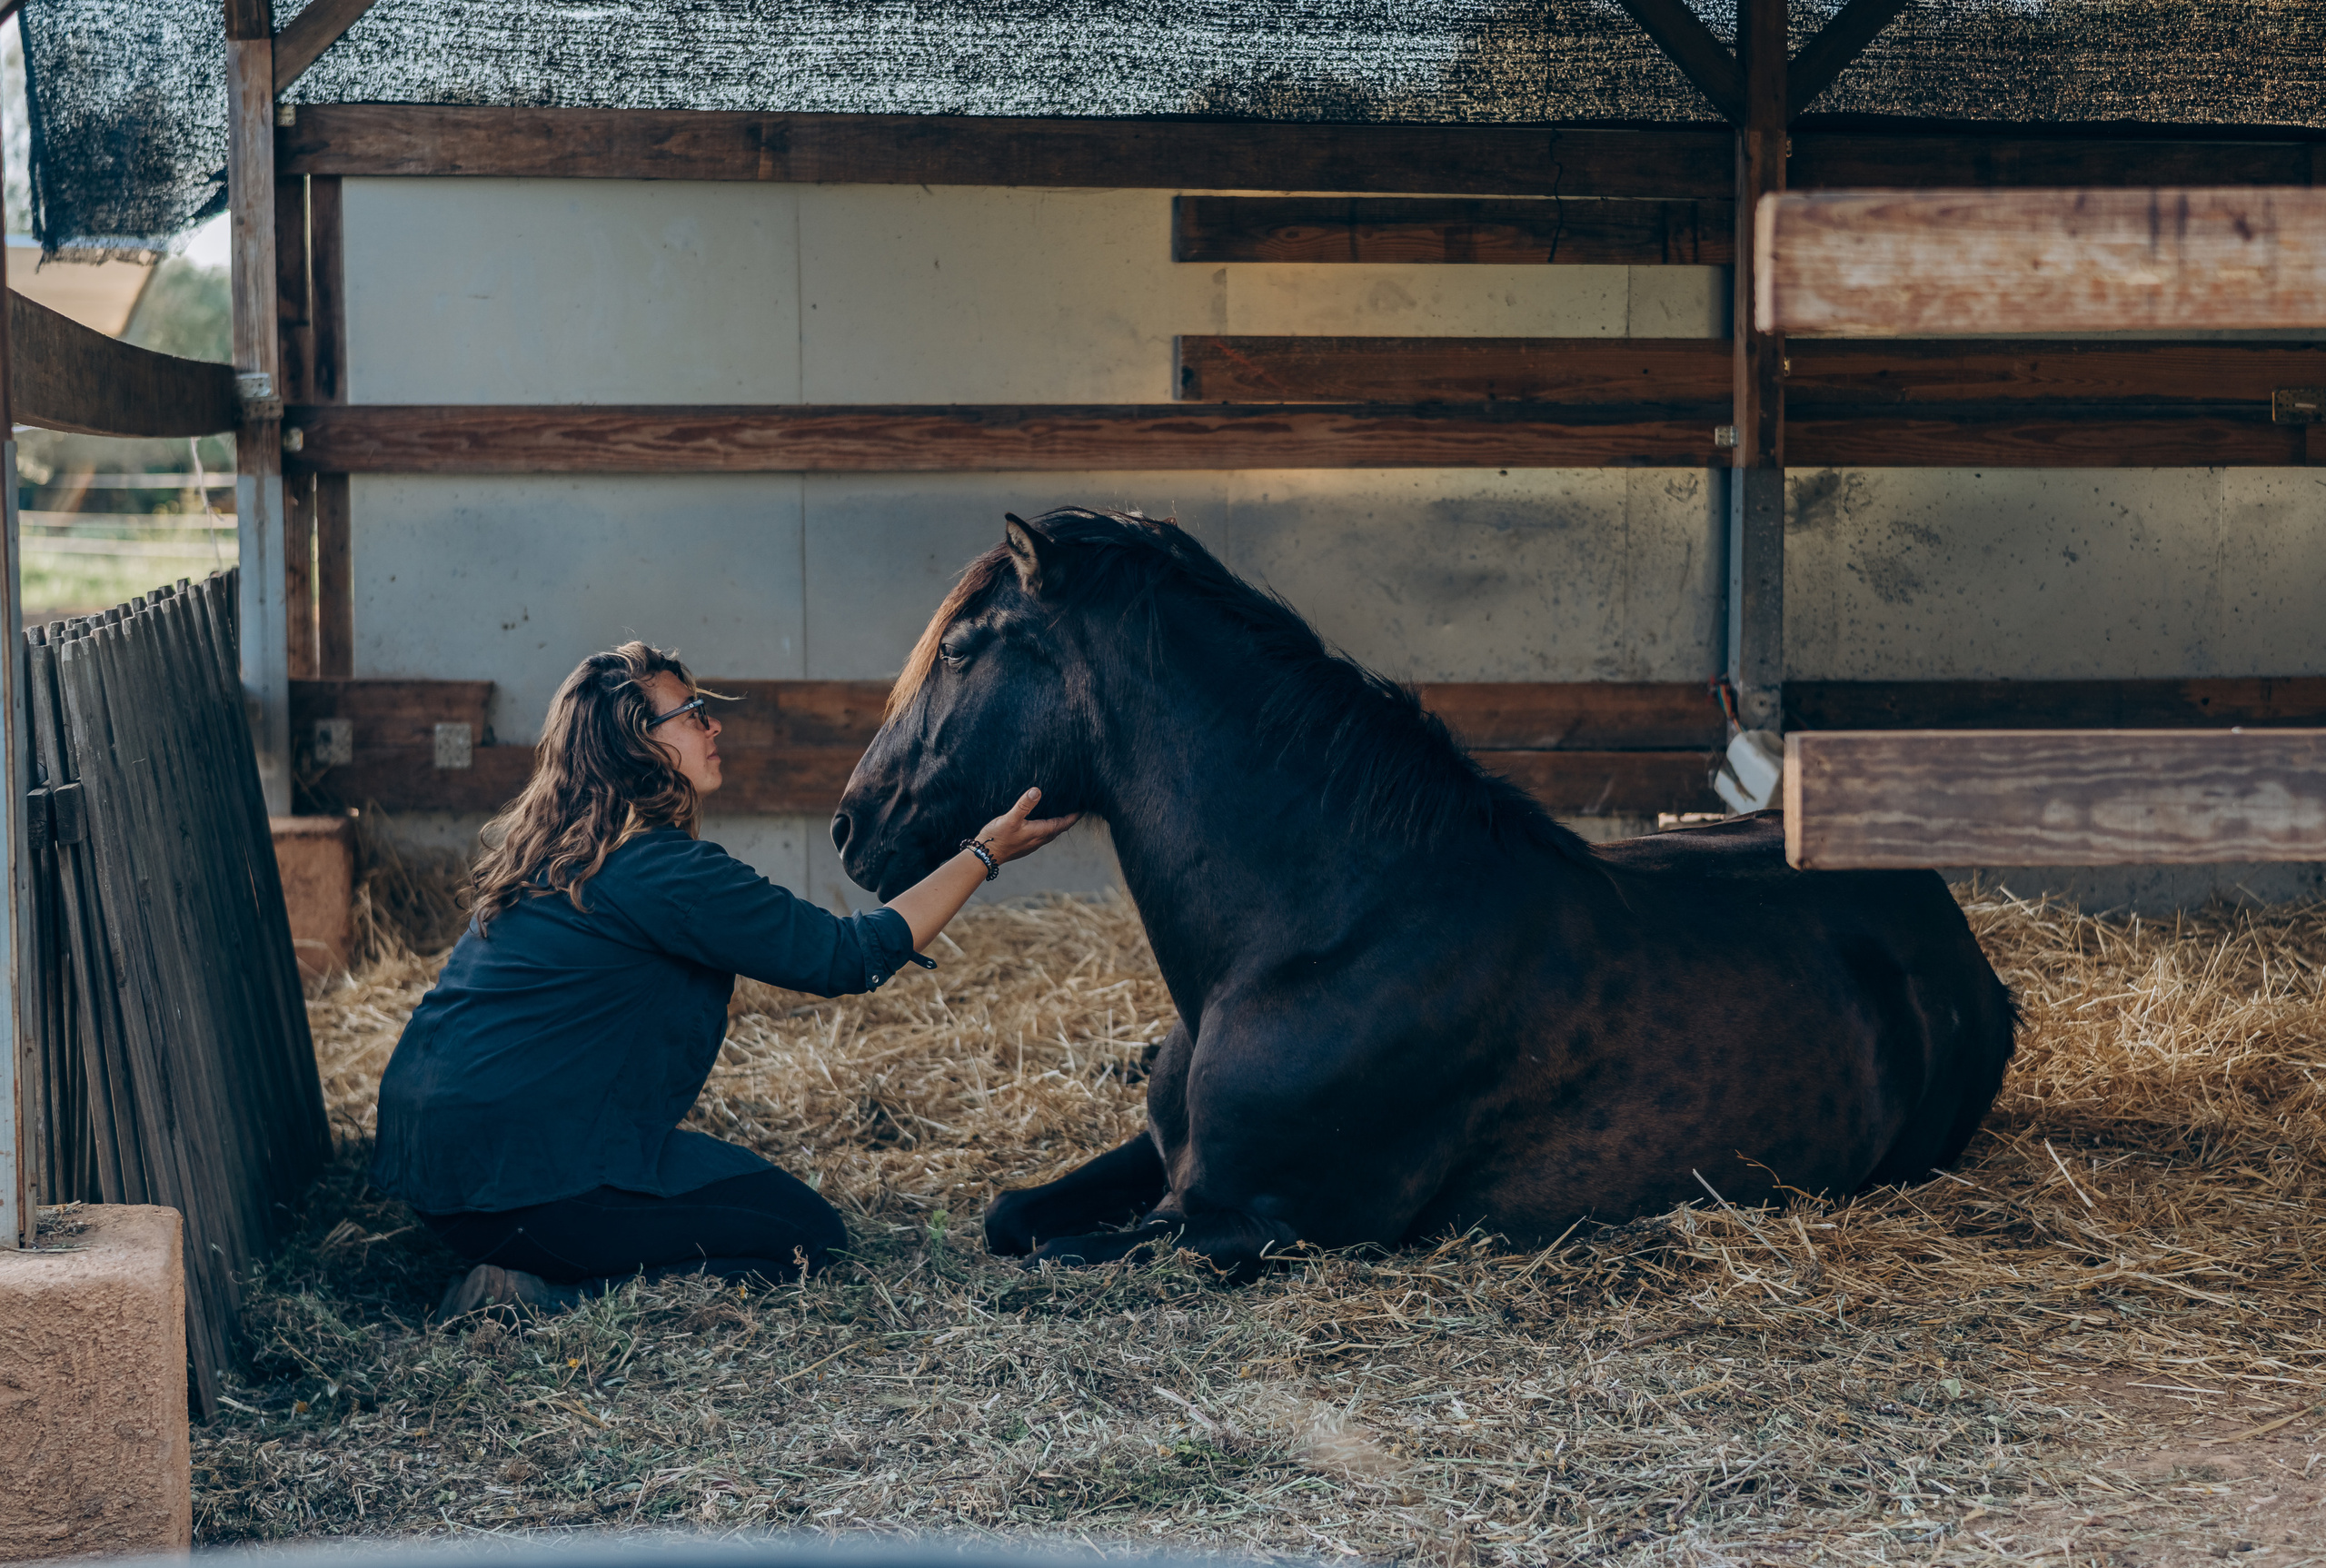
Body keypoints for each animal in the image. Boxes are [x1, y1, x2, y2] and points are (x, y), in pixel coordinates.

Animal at [832, 507, 2017, 1274]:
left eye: (961, 650)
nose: (852, 827)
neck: (1322, 936)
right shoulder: (1163, 1163)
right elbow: (1008, 1215)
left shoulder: (1254, 1223)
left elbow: (1060, 1255)